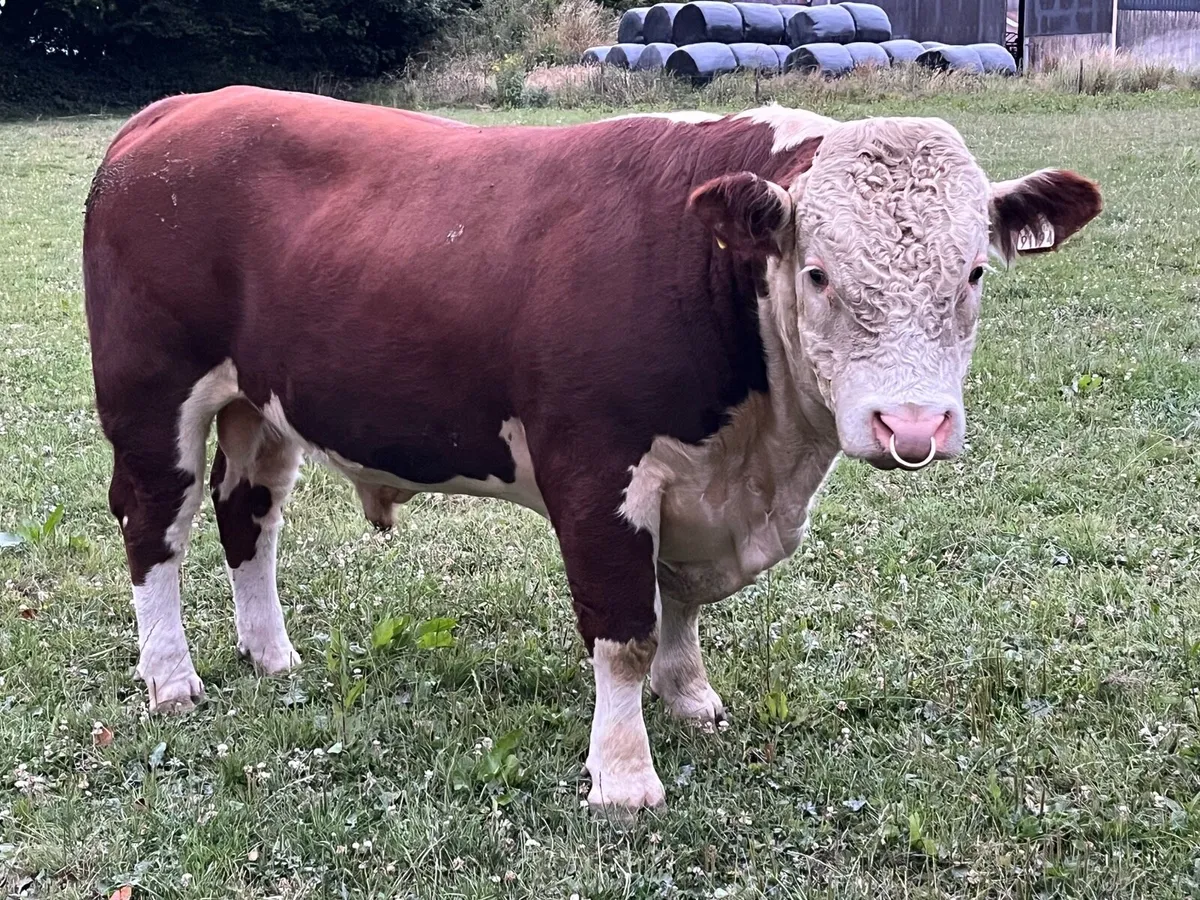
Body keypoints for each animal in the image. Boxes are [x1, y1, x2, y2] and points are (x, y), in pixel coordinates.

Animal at [83, 87, 1102, 816]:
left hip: (260, 406)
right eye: (817, 273)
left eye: (974, 271)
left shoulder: (698, 487)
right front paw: (623, 776)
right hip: (152, 396)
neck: (762, 454)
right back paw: (171, 680)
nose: (913, 427)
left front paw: (690, 698)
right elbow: (623, 629)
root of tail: (177, 109)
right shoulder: (597, 474)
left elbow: (678, 603)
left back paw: (272, 656)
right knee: (155, 525)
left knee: (246, 518)